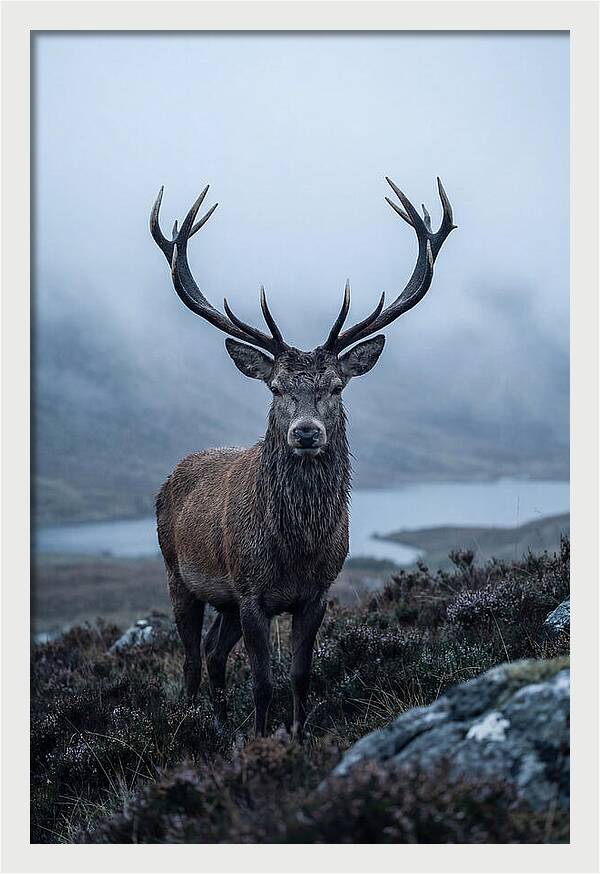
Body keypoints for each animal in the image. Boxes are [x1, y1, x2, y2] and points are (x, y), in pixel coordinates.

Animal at [150, 177, 455, 740]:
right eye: (275, 387)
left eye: (335, 386)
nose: (307, 432)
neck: (295, 549)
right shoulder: (251, 592)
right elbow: (262, 682)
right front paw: (260, 738)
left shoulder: (315, 593)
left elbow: (299, 675)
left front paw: (296, 734)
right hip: (177, 573)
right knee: (190, 658)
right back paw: (194, 722)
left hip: (223, 599)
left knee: (213, 652)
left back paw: (220, 723)